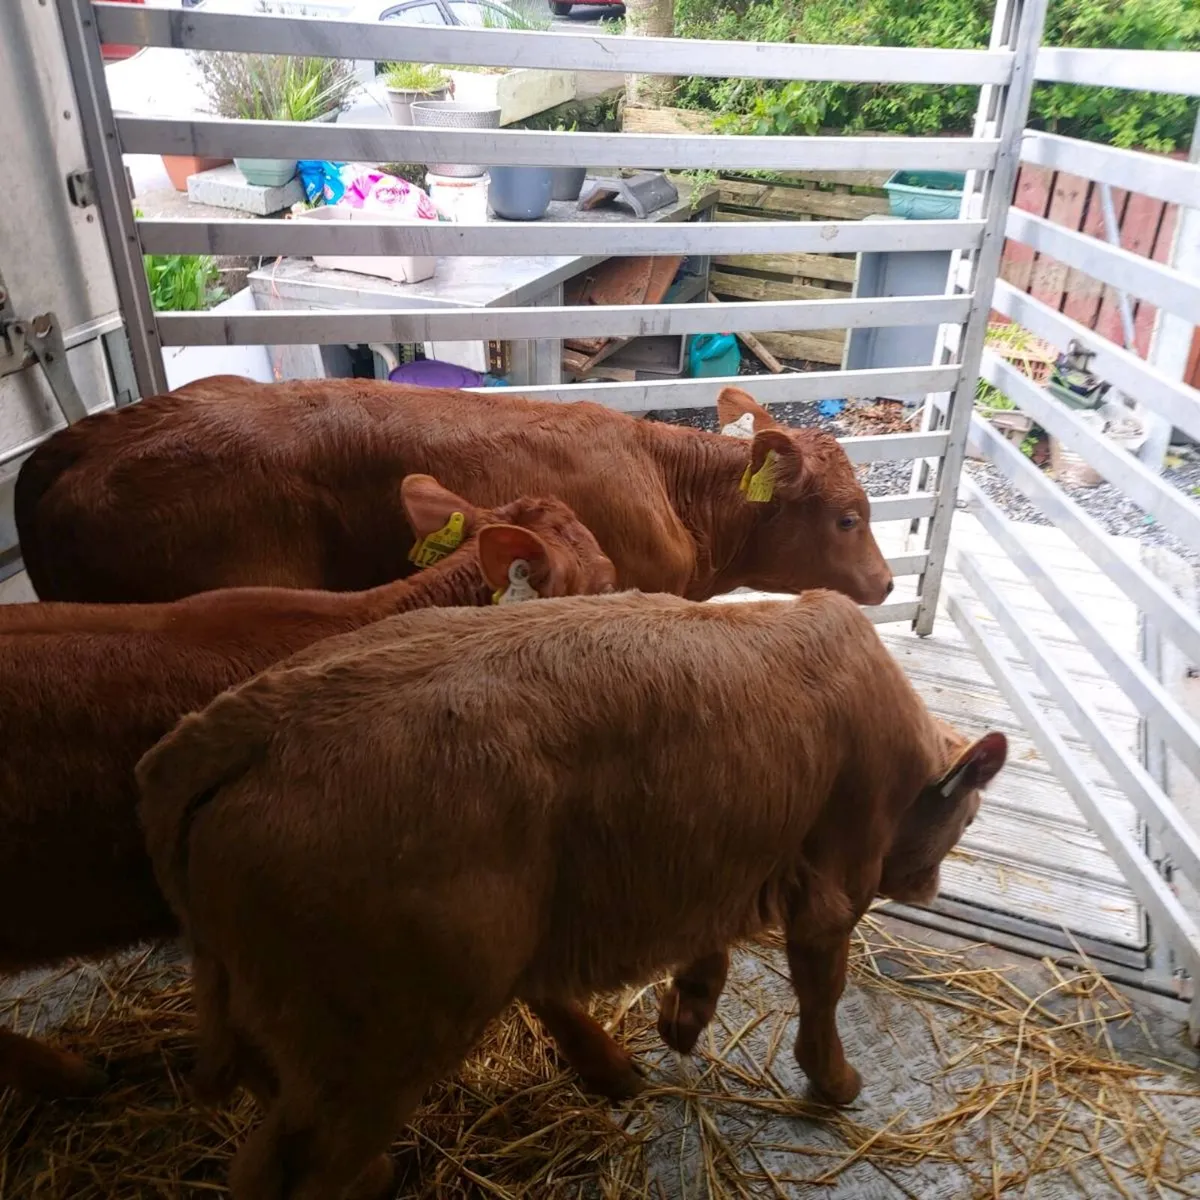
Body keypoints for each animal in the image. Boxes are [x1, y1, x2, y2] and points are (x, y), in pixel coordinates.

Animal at [137, 590, 1006, 1200]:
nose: (929, 885)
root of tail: (244, 723)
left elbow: (706, 945)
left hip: (287, 1011)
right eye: (966, 817)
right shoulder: (832, 890)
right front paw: (835, 1082)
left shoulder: (710, 857)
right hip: (384, 1043)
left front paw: (683, 1017)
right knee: (285, 1171)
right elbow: (822, 993)